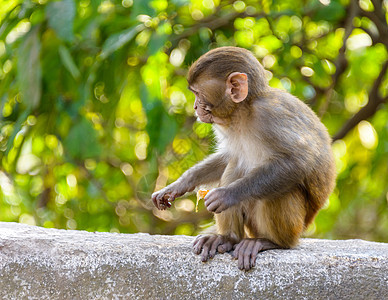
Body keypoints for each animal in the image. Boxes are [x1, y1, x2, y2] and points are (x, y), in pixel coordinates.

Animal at [152, 45, 336, 270]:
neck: (243, 112)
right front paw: (178, 185)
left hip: (293, 227)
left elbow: (299, 160)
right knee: (235, 166)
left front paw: (227, 195)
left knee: (280, 190)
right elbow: (229, 156)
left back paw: (270, 242)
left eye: (198, 93)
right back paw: (227, 238)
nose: (195, 107)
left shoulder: (271, 115)